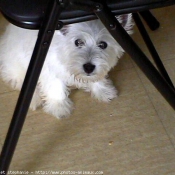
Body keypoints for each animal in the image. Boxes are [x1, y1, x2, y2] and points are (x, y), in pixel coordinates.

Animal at [0, 13, 133, 117]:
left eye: (103, 45)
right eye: (78, 42)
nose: (88, 67)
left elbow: (97, 79)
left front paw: (103, 91)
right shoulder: (49, 69)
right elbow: (55, 87)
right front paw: (59, 107)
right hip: (18, 64)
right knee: (22, 82)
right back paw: (34, 99)